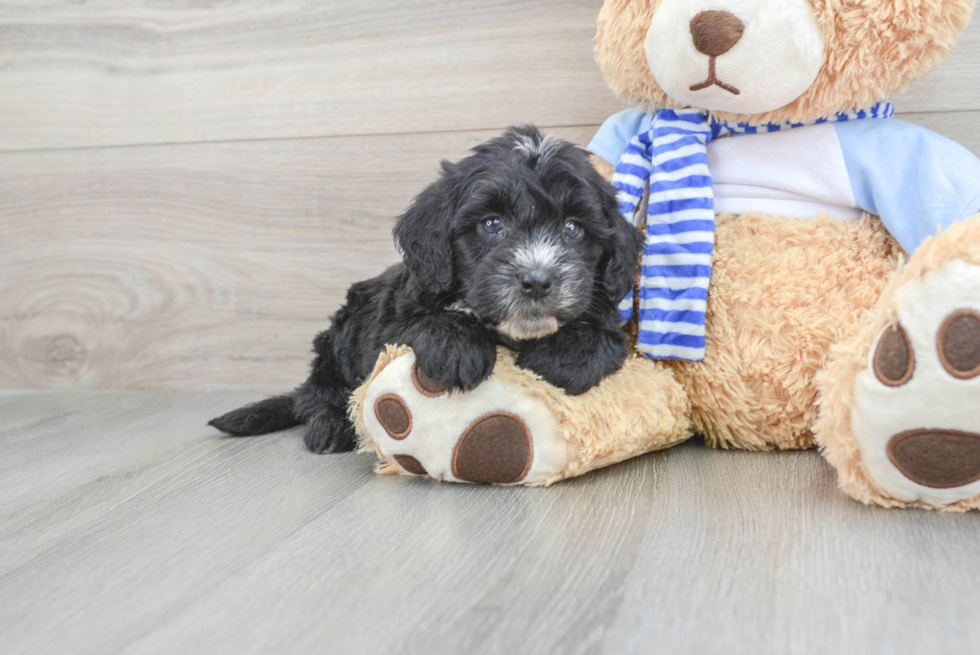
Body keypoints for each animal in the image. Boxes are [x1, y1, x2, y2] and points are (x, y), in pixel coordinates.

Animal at [209, 129, 644, 456]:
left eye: (573, 229)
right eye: (492, 224)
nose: (537, 281)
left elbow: (603, 335)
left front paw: (565, 358)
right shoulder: (393, 318)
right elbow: (423, 321)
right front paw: (457, 347)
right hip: (340, 336)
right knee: (319, 395)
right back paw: (330, 425)